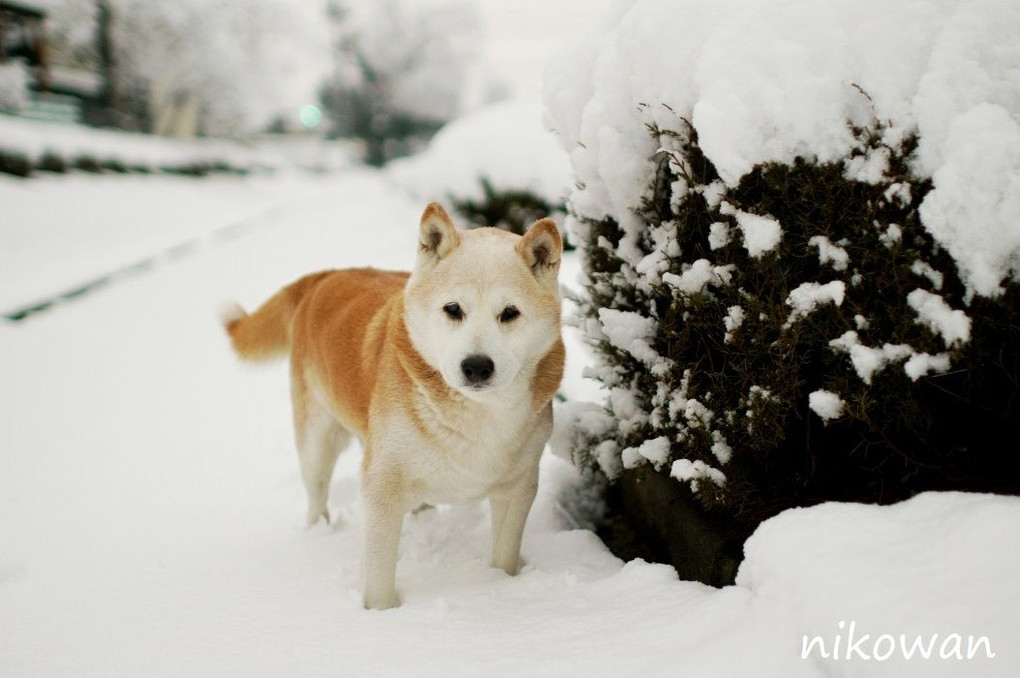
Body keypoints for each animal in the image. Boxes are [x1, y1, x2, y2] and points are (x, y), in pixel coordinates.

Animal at [222, 200, 567, 607]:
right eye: (453, 309)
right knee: (316, 492)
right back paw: (318, 532)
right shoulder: (381, 488)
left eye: (510, 313)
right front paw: (383, 615)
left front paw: (500, 586)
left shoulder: (518, 488)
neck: (476, 413)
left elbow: (504, 559)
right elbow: (378, 578)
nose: (477, 366)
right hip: (317, 440)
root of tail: (328, 275)